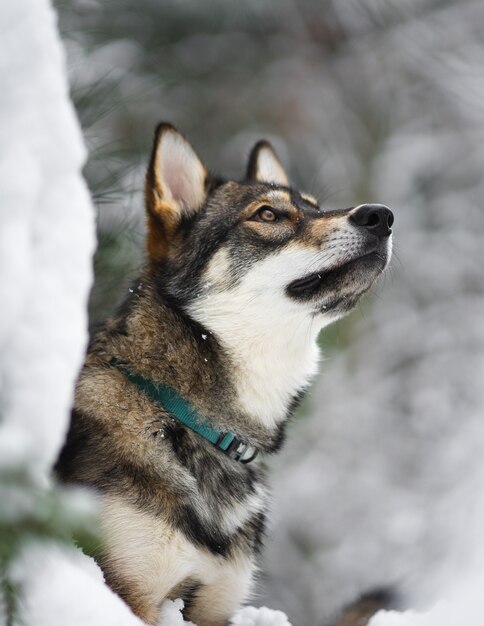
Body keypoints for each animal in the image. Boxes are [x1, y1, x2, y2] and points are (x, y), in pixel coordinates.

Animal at [55, 123, 394, 624]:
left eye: (315, 205)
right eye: (269, 214)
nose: (382, 216)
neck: (185, 421)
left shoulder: (216, 606)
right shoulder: (129, 592)